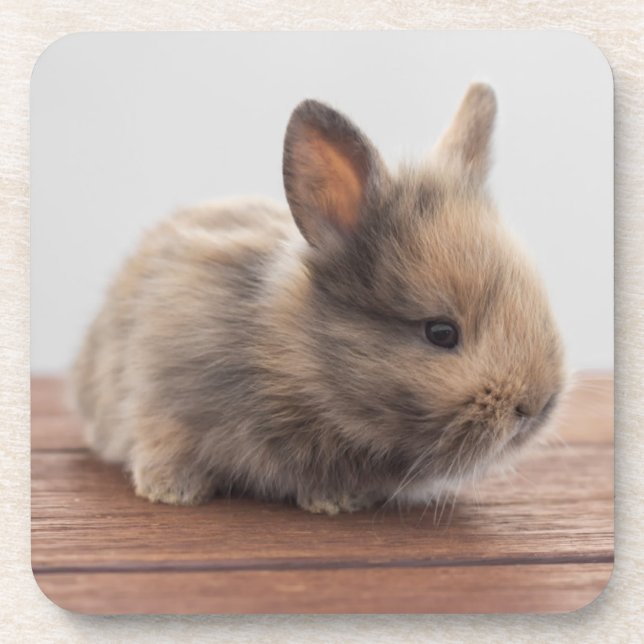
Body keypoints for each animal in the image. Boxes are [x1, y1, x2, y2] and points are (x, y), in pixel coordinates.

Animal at [72, 83, 565, 515]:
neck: (293, 362)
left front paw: (337, 501)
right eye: (441, 332)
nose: (535, 406)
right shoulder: (162, 392)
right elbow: (164, 441)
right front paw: (172, 492)